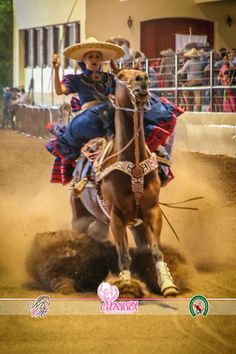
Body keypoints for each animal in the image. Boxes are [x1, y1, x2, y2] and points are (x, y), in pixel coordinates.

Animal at [71, 68, 178, 298]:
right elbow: (124, 255)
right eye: (120, 75)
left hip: (120, 223)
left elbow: (156, 250)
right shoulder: (116, 216)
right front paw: (127, 285)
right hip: (79, 215)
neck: (133, 163)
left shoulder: (151, 210)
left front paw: (167, 283)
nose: (141, 79)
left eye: (140, 71)